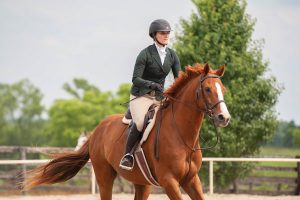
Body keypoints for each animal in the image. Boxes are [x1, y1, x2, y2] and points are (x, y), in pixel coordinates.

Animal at [23, 63, 231, 199]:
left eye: (223, 89)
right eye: (207, 89)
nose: (224, 118)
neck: (182, 134)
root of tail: (98, 130)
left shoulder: (191, 180)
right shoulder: (169, 181)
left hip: (142, 182)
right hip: (104, 176)